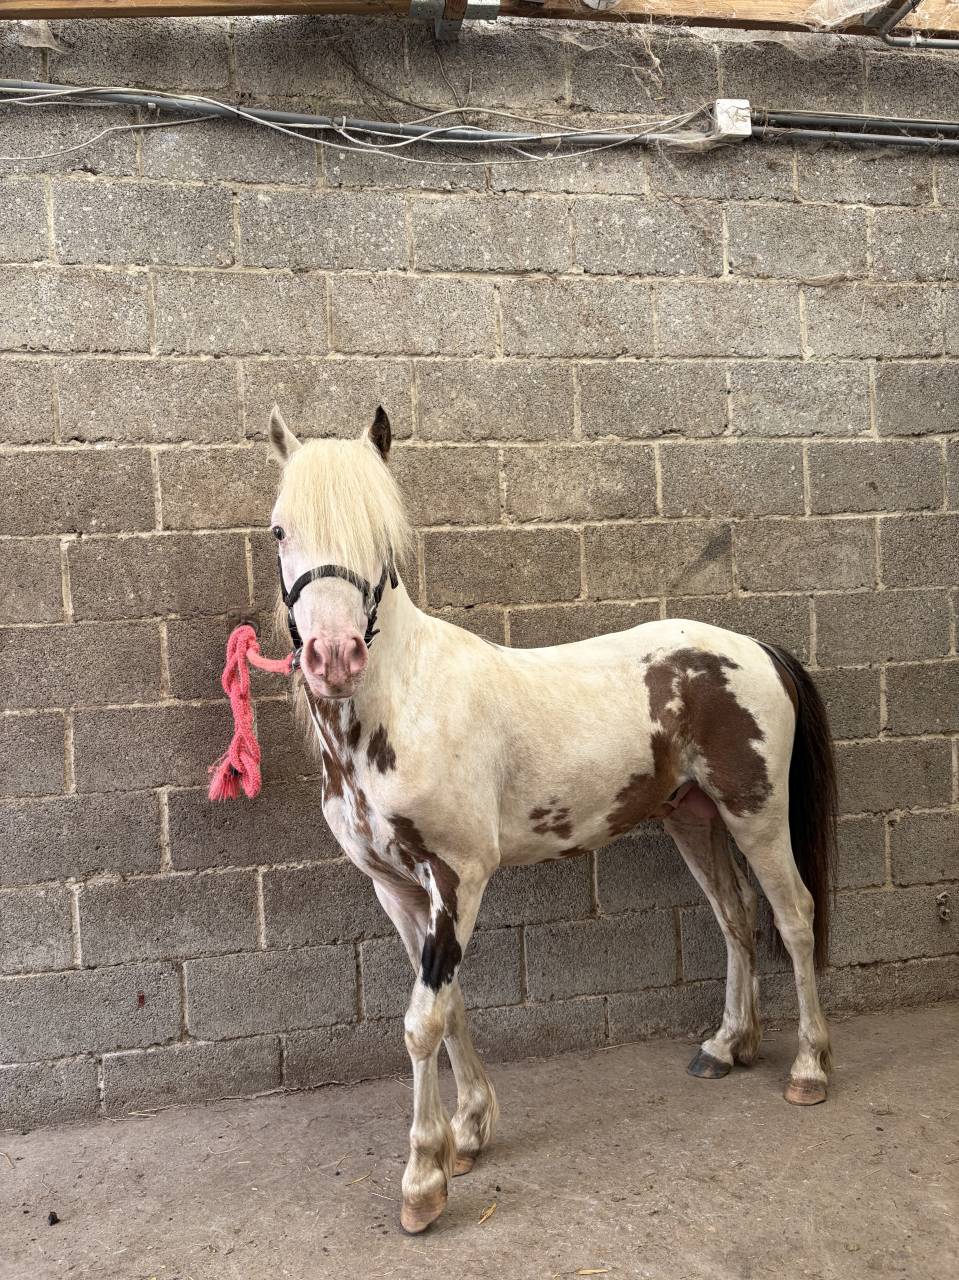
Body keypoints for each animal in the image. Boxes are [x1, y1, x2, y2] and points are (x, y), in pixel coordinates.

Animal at [263, 404, 837, 1234]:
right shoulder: (397, 891)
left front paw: (422, 1181)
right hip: (692, 818)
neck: (403, 705)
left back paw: (808, 1067)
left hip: (755, 813)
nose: (332, 657)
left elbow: (421, 1022)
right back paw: (726, 1046)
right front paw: (468, 1134)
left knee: (792, 916)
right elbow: (447, 1007)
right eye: (280, 529)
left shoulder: (458, 879)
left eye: (382, 538)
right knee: (734, 918)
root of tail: (753, 648)